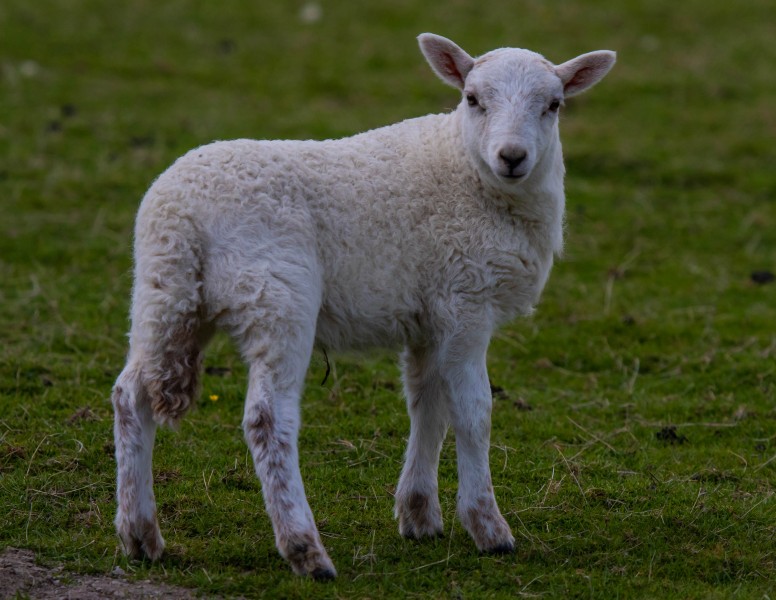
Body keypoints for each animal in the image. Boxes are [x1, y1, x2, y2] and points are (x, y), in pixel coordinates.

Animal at [112, 32, 616, 576]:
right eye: (472, 99)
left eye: (554, 104)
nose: (512, 157)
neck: (467, 171)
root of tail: (183, 213)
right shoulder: (466, 302)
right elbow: (473, 412)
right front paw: (488, 527)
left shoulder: (429, 314)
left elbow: (428, 405)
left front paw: (419, 515)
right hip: (276, 295)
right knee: (267, 419)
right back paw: (305, 549)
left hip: (164, 294)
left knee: (131, 396)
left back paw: (139, 534)